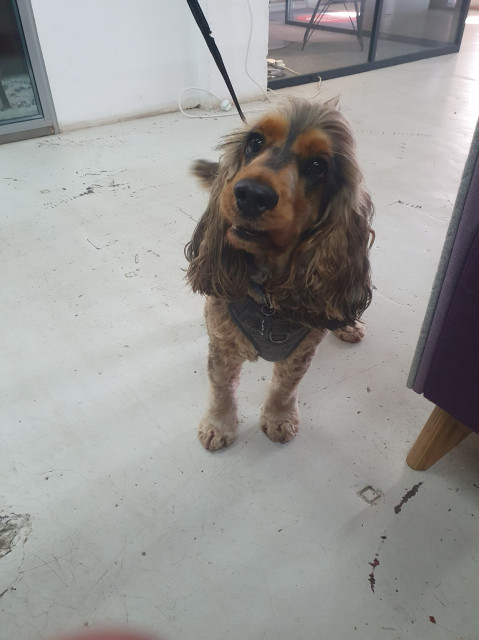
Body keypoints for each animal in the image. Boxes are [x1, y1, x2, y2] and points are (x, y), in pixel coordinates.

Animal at [186, 99, 374, 450]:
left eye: (317, 165)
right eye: (254, 142)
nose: (251, 194)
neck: (267, 297)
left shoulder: (302, 351)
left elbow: (284, 388)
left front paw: (278, 420)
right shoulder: (222, 345)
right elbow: (221, 388)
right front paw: (218, 426)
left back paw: (348, 324)